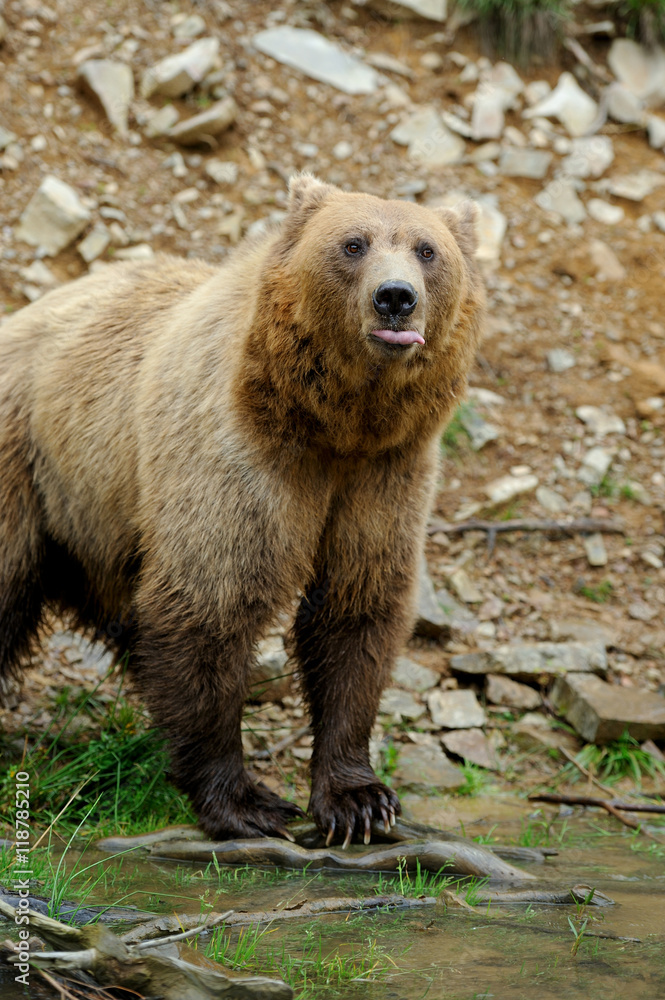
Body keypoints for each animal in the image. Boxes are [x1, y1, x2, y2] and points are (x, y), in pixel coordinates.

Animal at [0, 174, 485, 847]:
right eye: (353, 243)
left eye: (427, 249)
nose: (396, 298)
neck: (335, 425)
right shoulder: (239, 459)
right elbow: (212, 602)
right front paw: (247, 802)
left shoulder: (386, 476)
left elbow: (357, 608)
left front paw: (359, 801)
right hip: (29, 459)